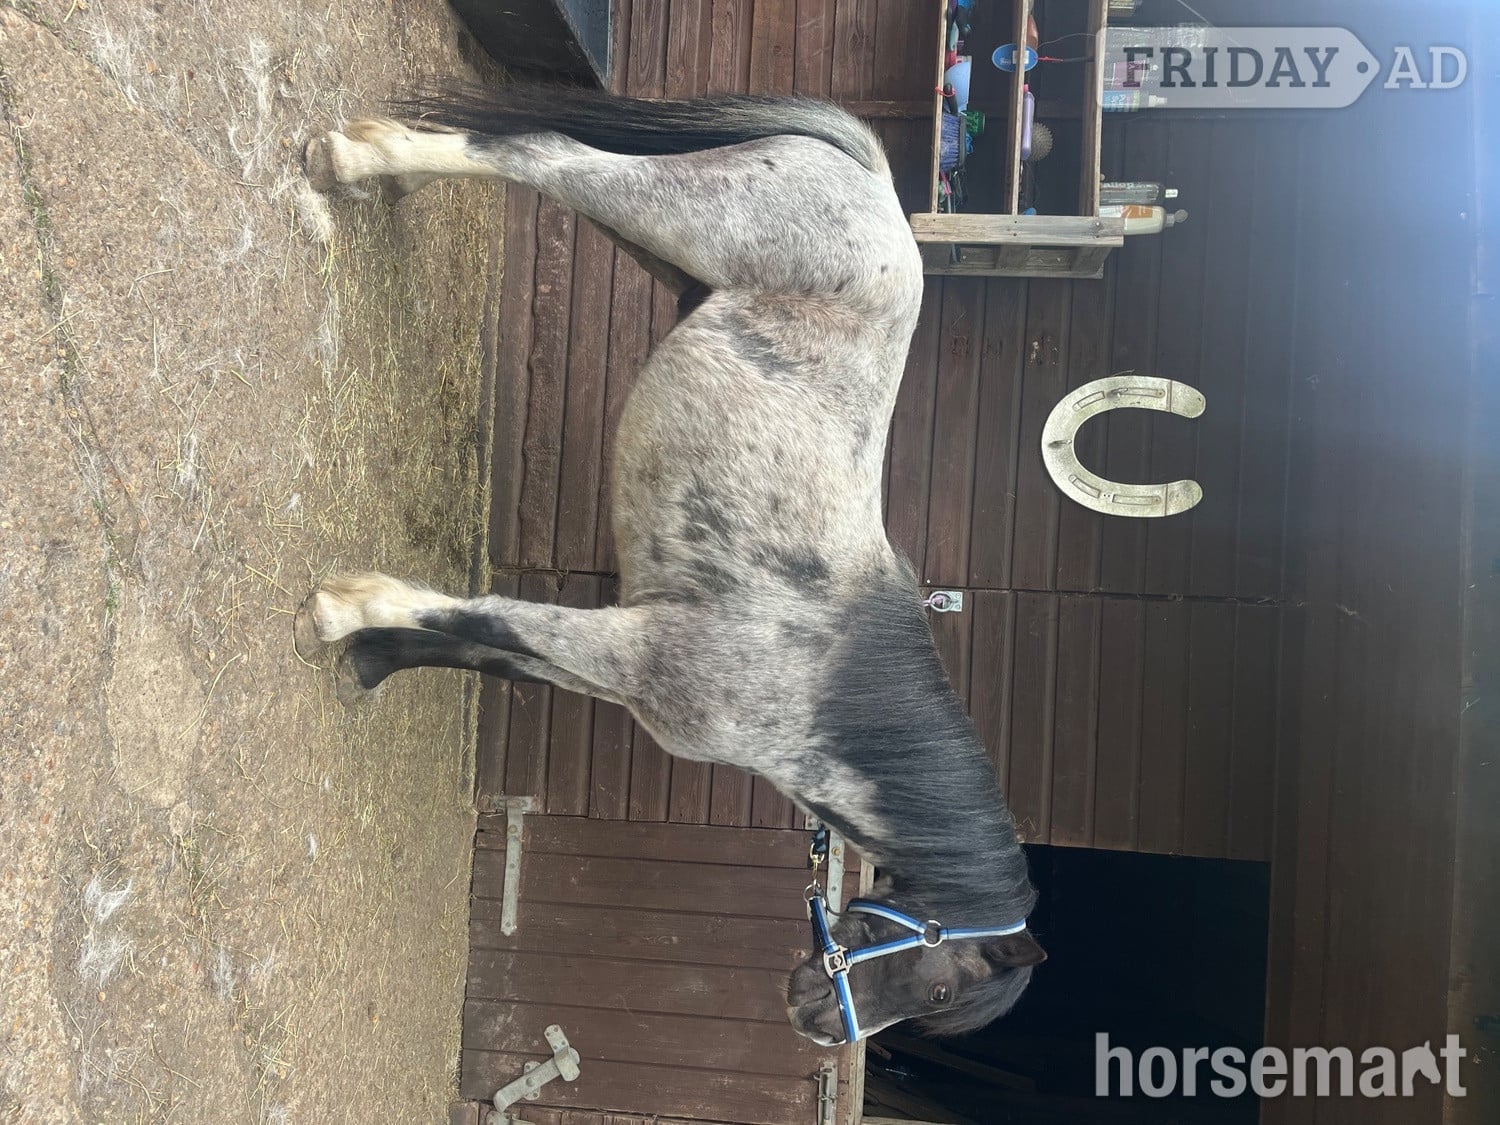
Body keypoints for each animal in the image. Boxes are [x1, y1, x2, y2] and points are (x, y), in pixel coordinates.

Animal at [298, 82, 1045, 1047]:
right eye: (943, 988)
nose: (817, 1024)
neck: (823, 678)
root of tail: (880, 188)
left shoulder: (616, 668)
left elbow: (491, 649)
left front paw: (373, 658)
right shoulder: (634, 648)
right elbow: (483, 617)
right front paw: (339, 612)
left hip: (663, 253)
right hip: (668, 216)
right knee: (544, 153)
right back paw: (352, 165)